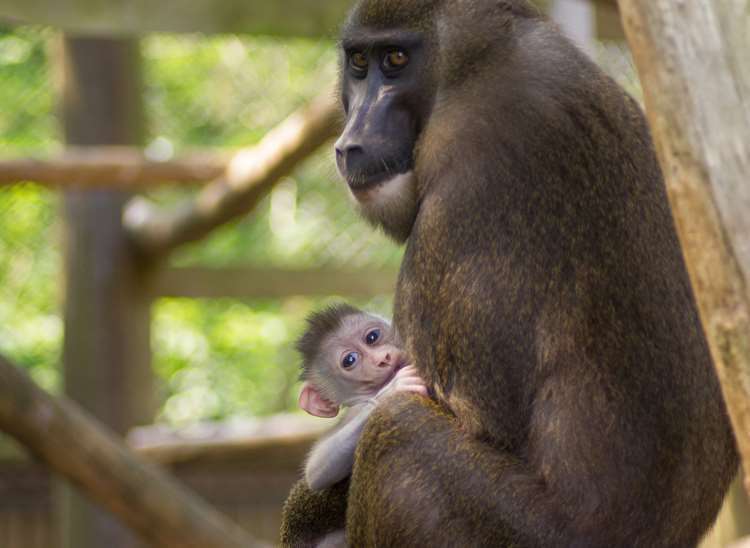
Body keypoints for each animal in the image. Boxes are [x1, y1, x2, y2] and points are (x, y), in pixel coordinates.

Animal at [300, 304, 428, 488]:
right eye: (349, 360)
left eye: (372, 337)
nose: (383, 359)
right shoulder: (356, 408)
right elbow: (316, 472)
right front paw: (391, 390)